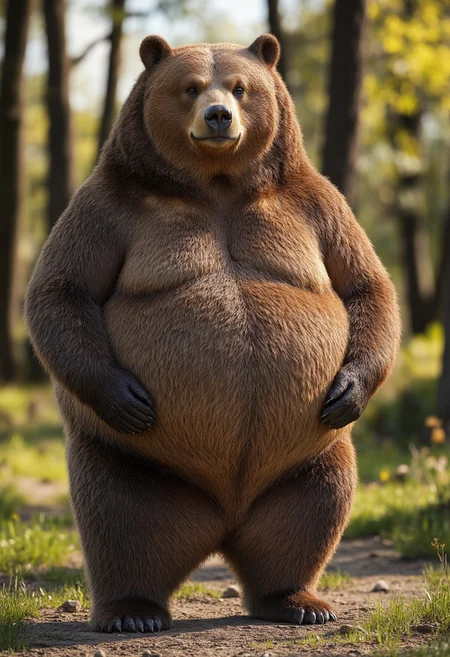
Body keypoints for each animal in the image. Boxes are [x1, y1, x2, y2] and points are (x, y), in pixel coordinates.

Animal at [25, 33, 401, 632]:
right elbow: (63, 288)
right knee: (119, 521)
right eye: (191, 86)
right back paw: (132, 612)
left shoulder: (314, 205)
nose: (219, 115)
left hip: (308, 457)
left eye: (241, 87)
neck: (217, 184)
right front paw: (127, 396)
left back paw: (298, 601)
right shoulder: (112, 206)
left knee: (314, 509)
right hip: (131, 462)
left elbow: (365, 284)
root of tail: (222, 520)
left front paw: (348, 389)